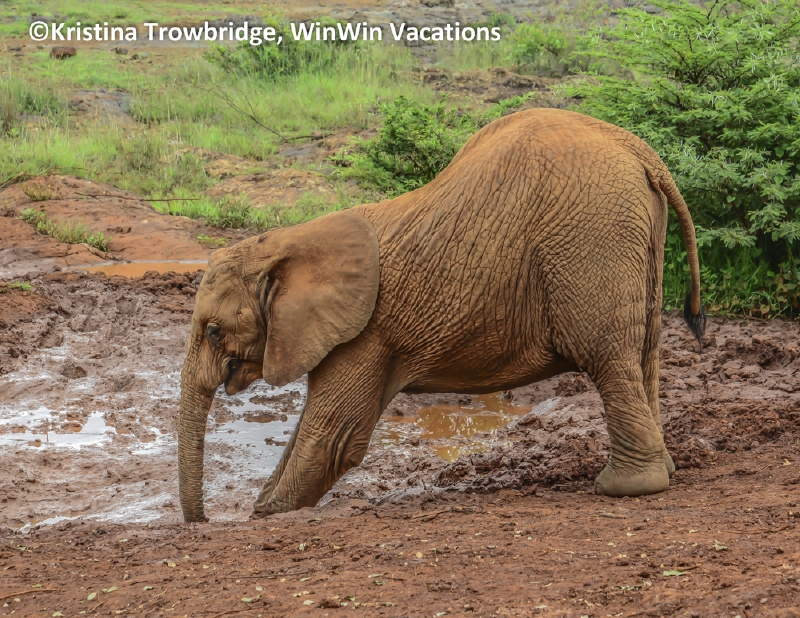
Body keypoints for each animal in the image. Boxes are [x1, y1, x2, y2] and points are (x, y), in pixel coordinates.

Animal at [177, 108, 706, 522]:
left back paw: (625, 487)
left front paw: (263, 515)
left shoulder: (367, 332)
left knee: (608, 359)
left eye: (215, 331)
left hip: (589, 238)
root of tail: (639, 150)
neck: (287, 240)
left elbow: (332, 435)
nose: (204, 521)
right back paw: (663, 467)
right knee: (643, 356)